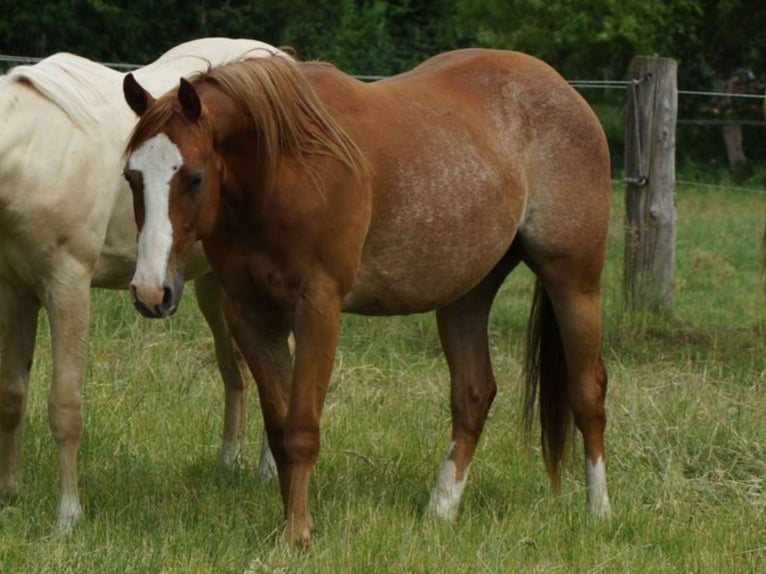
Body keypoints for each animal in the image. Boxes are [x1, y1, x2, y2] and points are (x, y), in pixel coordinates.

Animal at [0, 38, 290, 533]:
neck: (37, 153)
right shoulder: (14, 291)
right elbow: (12, 396)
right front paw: (8, 496)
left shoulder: (67, 286)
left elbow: (65, 406)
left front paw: (68, 516)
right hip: (214, 286)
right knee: (235, 368)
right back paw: (228, 464)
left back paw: (267, 471)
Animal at [122, 48, 612, 546]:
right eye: (132, 177)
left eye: (195, 177)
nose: (150, 290)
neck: (284, 167)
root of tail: (564, 91)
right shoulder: (249, 314)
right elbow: (278, 428)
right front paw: (293, 523)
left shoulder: (318, 307)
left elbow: (301, 428)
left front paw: (296, 534)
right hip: (466, 295)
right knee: (473, 394)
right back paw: (440, 512)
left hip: (574, 283)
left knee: (587, 393)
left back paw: (599, 511)